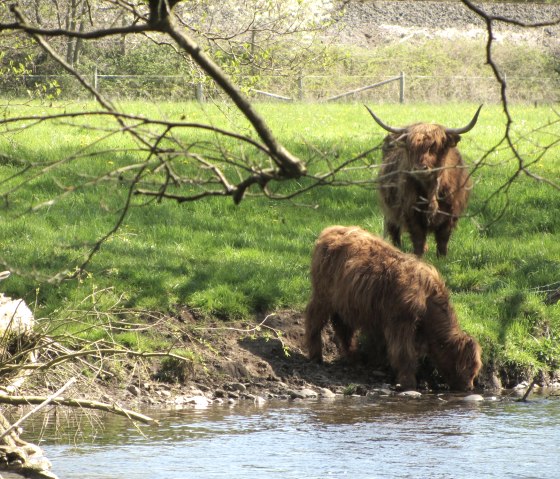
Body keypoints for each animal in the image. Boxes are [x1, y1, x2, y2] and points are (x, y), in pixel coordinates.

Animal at [304, 227, 484, 392]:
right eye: (467, 368)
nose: (469, 387)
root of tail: (331, 230)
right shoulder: (400, 321)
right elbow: (404, 353)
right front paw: (407, 381)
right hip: (323, 295)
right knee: (314, 319)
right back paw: (316, 355)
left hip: (343, 301)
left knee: (343, 327)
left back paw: (354, 356)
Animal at [368, 103, 482, 256]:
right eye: (411, 147)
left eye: (434, 146)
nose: (420, 168)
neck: (431, 189)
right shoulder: (411, 213)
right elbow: (418, 239)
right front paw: (418, 256)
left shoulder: (450, 214)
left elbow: (443, 240)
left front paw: (442, 257)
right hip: (389, 208)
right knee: (394, 231)